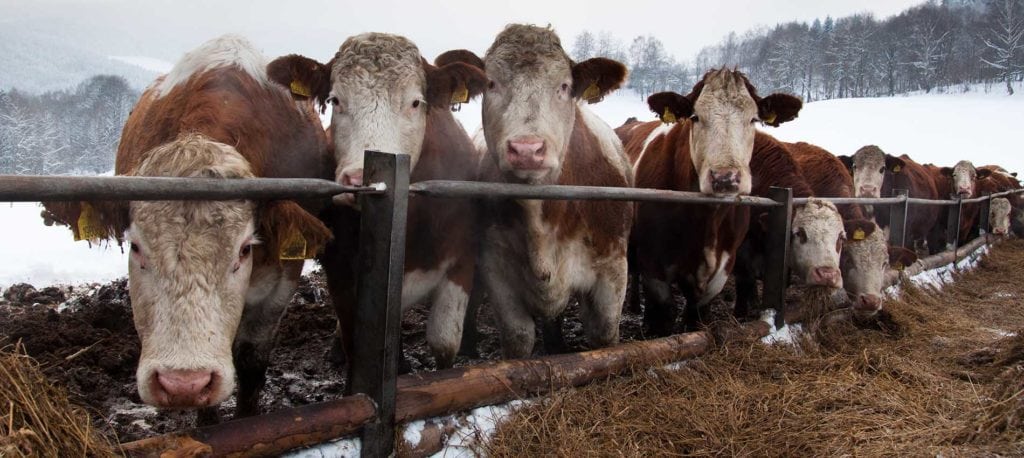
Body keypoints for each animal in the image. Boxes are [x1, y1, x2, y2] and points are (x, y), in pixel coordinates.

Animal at [264, 33, 487, 368]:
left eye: (415, 102)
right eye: (335, 100)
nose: (359, 179)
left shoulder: (461, 260)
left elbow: (444, 342)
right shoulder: (342, 274)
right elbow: (356, 343)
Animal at [440, 25, 630, 358]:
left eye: (565, 86)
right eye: (491, 83)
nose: (527, 149)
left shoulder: (614, 268)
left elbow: (604, 334)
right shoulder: (497, 270)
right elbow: (518, 338)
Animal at [618, 69, 802, 334]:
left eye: (753, 119)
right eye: (695, 117)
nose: (725, 177)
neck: (707, 219)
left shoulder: (723, 266)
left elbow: (697, 315)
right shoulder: (654, 265)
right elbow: (663, 315)